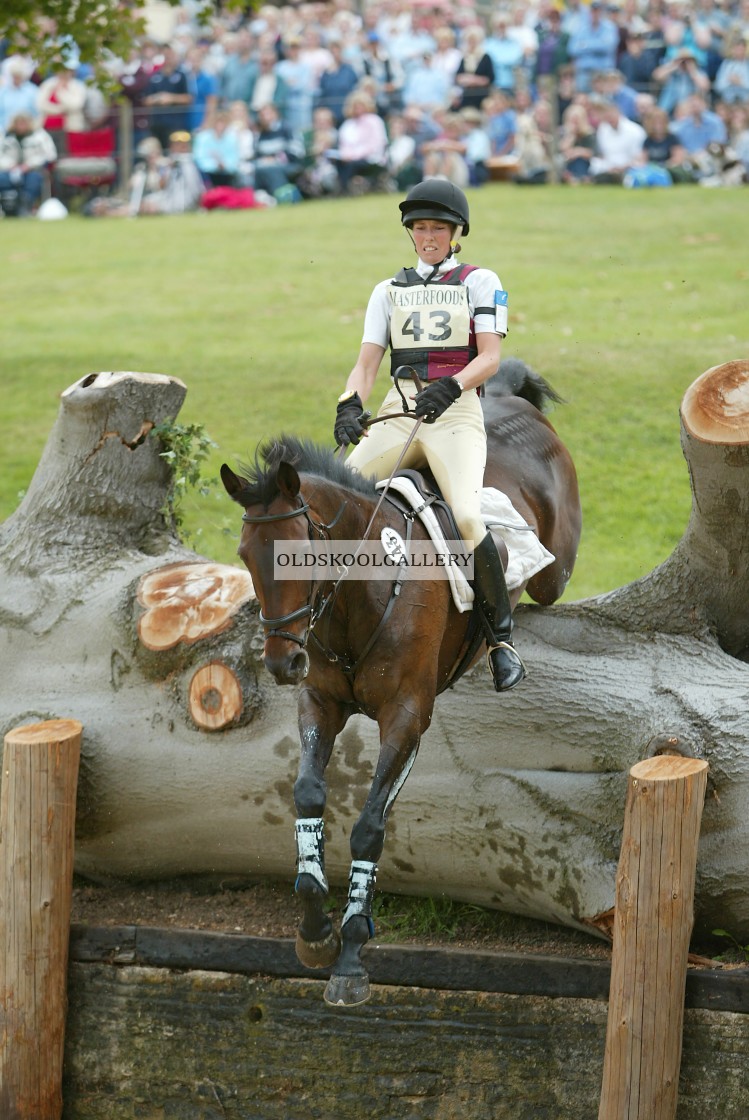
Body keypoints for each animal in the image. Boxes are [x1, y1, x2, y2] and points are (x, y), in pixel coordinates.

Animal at [219, 358, 582, 1008]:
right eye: (244, 554)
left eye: (299, 554)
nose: (283, 664)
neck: (357, 595)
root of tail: (511, 399)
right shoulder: (320, 702)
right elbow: (307, 797)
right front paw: (314, 931)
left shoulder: (407, 715)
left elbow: (369, 828)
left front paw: (350, 955)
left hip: (554, 569)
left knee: (541, 577)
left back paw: (507, 649)